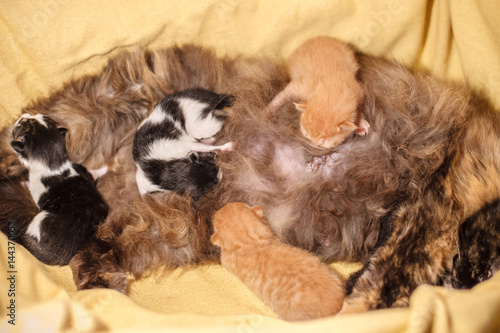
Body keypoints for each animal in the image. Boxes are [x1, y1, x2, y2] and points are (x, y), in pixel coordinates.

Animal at [10, 114, 109, 264]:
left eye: (24, 122)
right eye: (38, 116)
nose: (24, 115)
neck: (55, 165)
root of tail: (58, 257)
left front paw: (24, 183)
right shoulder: (82, 170)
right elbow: (93, 173)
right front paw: (104, 168)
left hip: (40, 220)